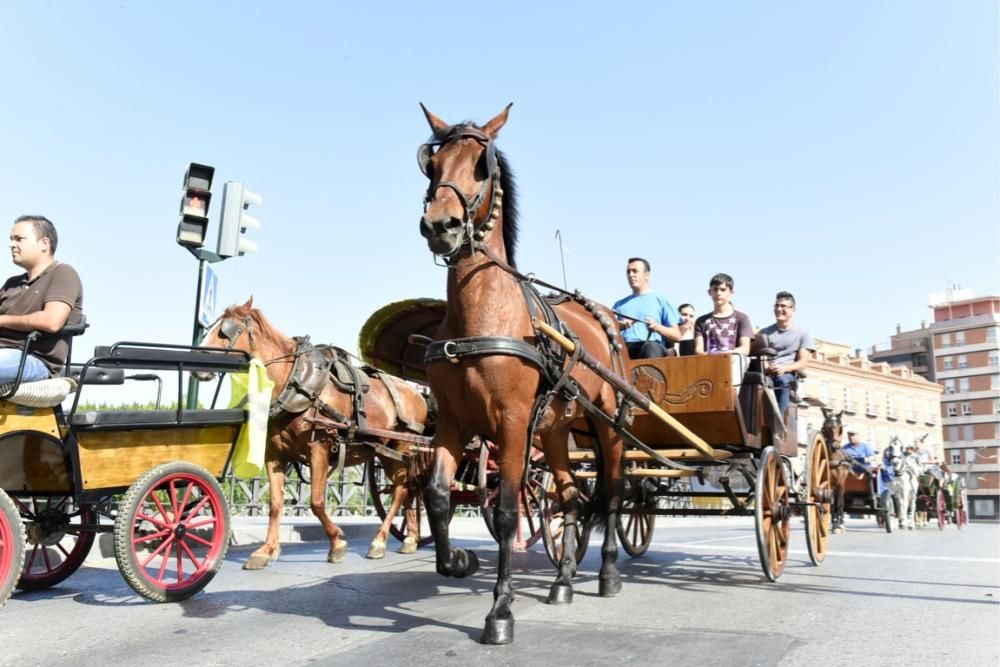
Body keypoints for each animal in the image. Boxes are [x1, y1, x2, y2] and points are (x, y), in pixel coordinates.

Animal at [200, 302, 434, 568]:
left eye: (225, 331)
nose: (200, 367)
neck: (296, 382)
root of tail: (417, 394)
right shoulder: (275, 454)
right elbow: (275, 503)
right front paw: (266, 550)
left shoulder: (319, 449)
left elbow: (316, 501)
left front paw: (337, 543)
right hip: (388, 452)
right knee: (410, 488)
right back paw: (411, 538)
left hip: (402, 446)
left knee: (402, 490)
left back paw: (379, 541)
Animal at [416, 105, 624, 648]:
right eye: (432, 164)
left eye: (481, 166)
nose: (440, 224)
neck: (482, 313)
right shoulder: (452, 425)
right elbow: (438, 497)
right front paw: (458, 560)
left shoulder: (510, 425)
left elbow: (509, 511)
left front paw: (500, 610)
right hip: (553, 433)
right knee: (569, 497)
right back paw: (563, 581)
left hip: (609, 427)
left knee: (614, 492)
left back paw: (607, 573)